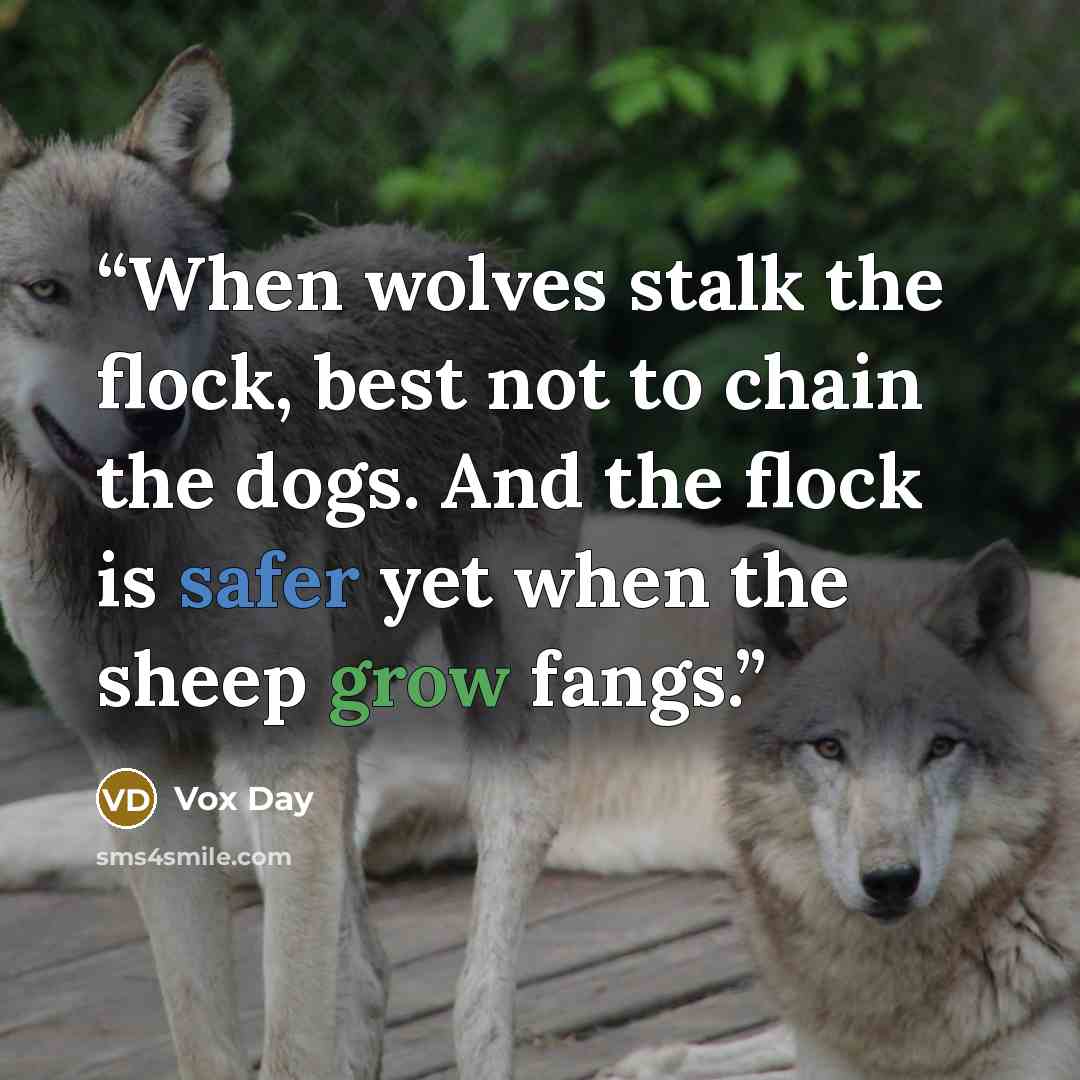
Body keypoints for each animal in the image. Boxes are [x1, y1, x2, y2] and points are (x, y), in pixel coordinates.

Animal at [0, 46, 587, 1080]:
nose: (153, 415)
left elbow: (292, 1029)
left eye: (168, 289)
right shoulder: (147, 768)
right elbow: (207, 1028)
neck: (128, 557)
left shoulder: (282, 751)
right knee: (371, 973)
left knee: (476, 987)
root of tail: (468, 253)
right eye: (46, 291)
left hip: (494, 712)